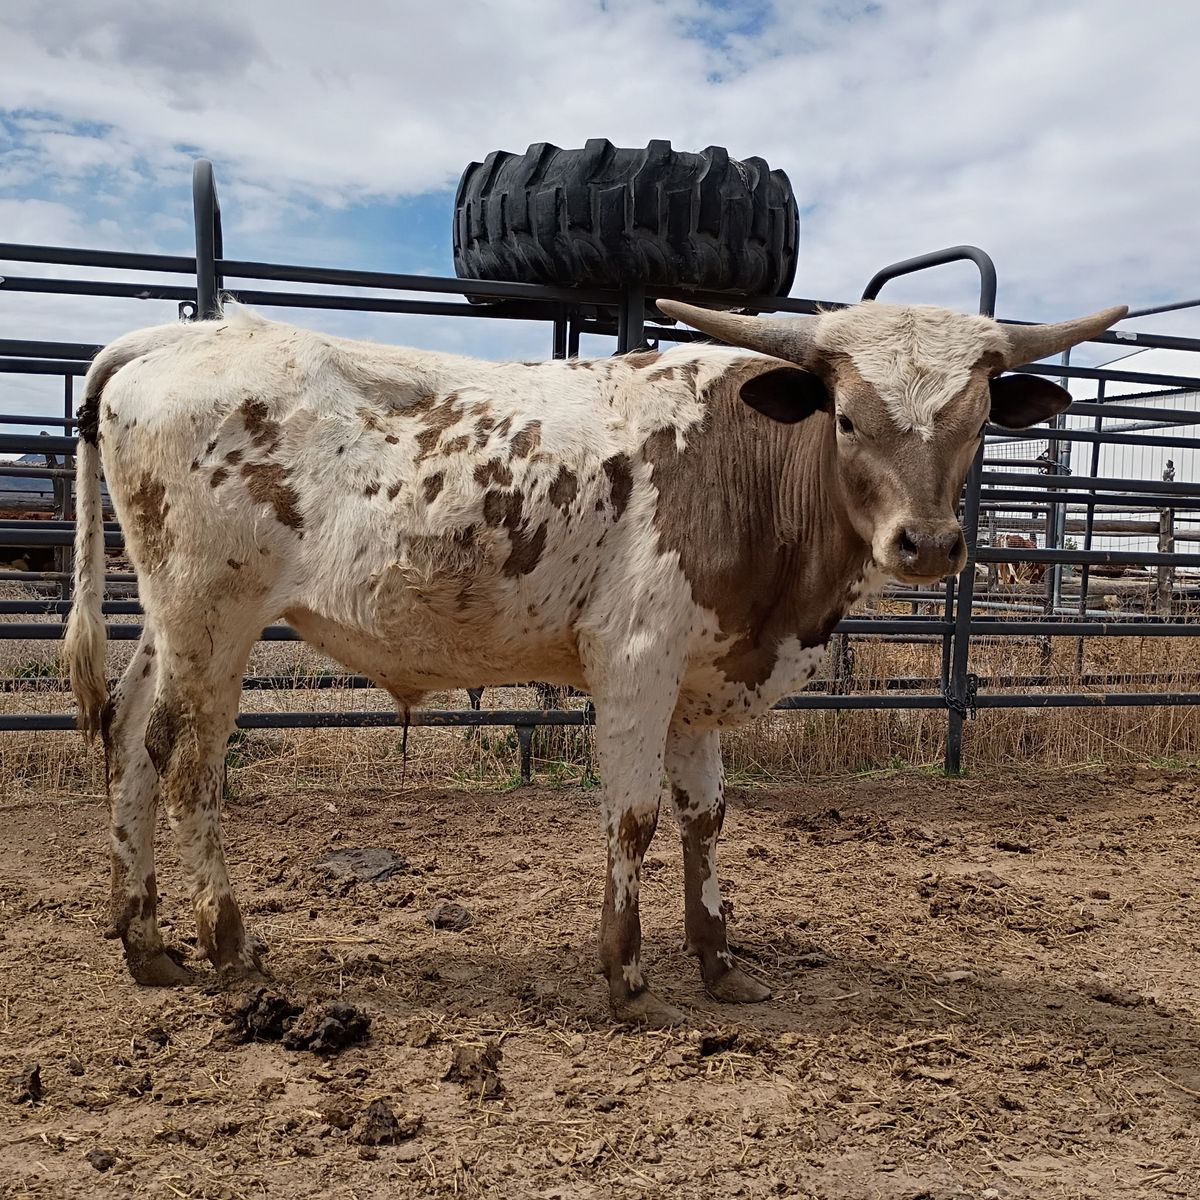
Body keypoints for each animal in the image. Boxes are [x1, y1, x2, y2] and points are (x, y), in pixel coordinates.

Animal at [63, 297, 1125, 1026]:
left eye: (976, 423)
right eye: (850, 418)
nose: (930, 544)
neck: (745, 467)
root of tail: (171, 338)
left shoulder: (700, 678)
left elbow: (706, 819)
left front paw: (720, 964)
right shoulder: (636, 664)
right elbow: (635, 818)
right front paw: (627, 975)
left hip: (169, 618)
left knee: (129, 736)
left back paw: (145, 942)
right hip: (216, 617)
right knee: (188, 762)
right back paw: (228, 944)